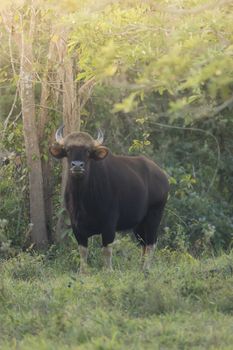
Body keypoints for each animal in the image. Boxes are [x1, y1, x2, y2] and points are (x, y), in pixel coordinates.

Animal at [49, 126, 169, 274]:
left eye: (88, 151)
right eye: (68, 150)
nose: (77, 165)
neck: (83, 199)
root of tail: (163, 177)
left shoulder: (109, 224)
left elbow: (106, 250)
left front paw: (108, 270)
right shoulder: (76, 225)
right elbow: (82, 251)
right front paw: (83, 272)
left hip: (155, 215)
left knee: (152, 242)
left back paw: (146, 268)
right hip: (139, 223)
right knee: (143, 243)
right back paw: (140, 268)